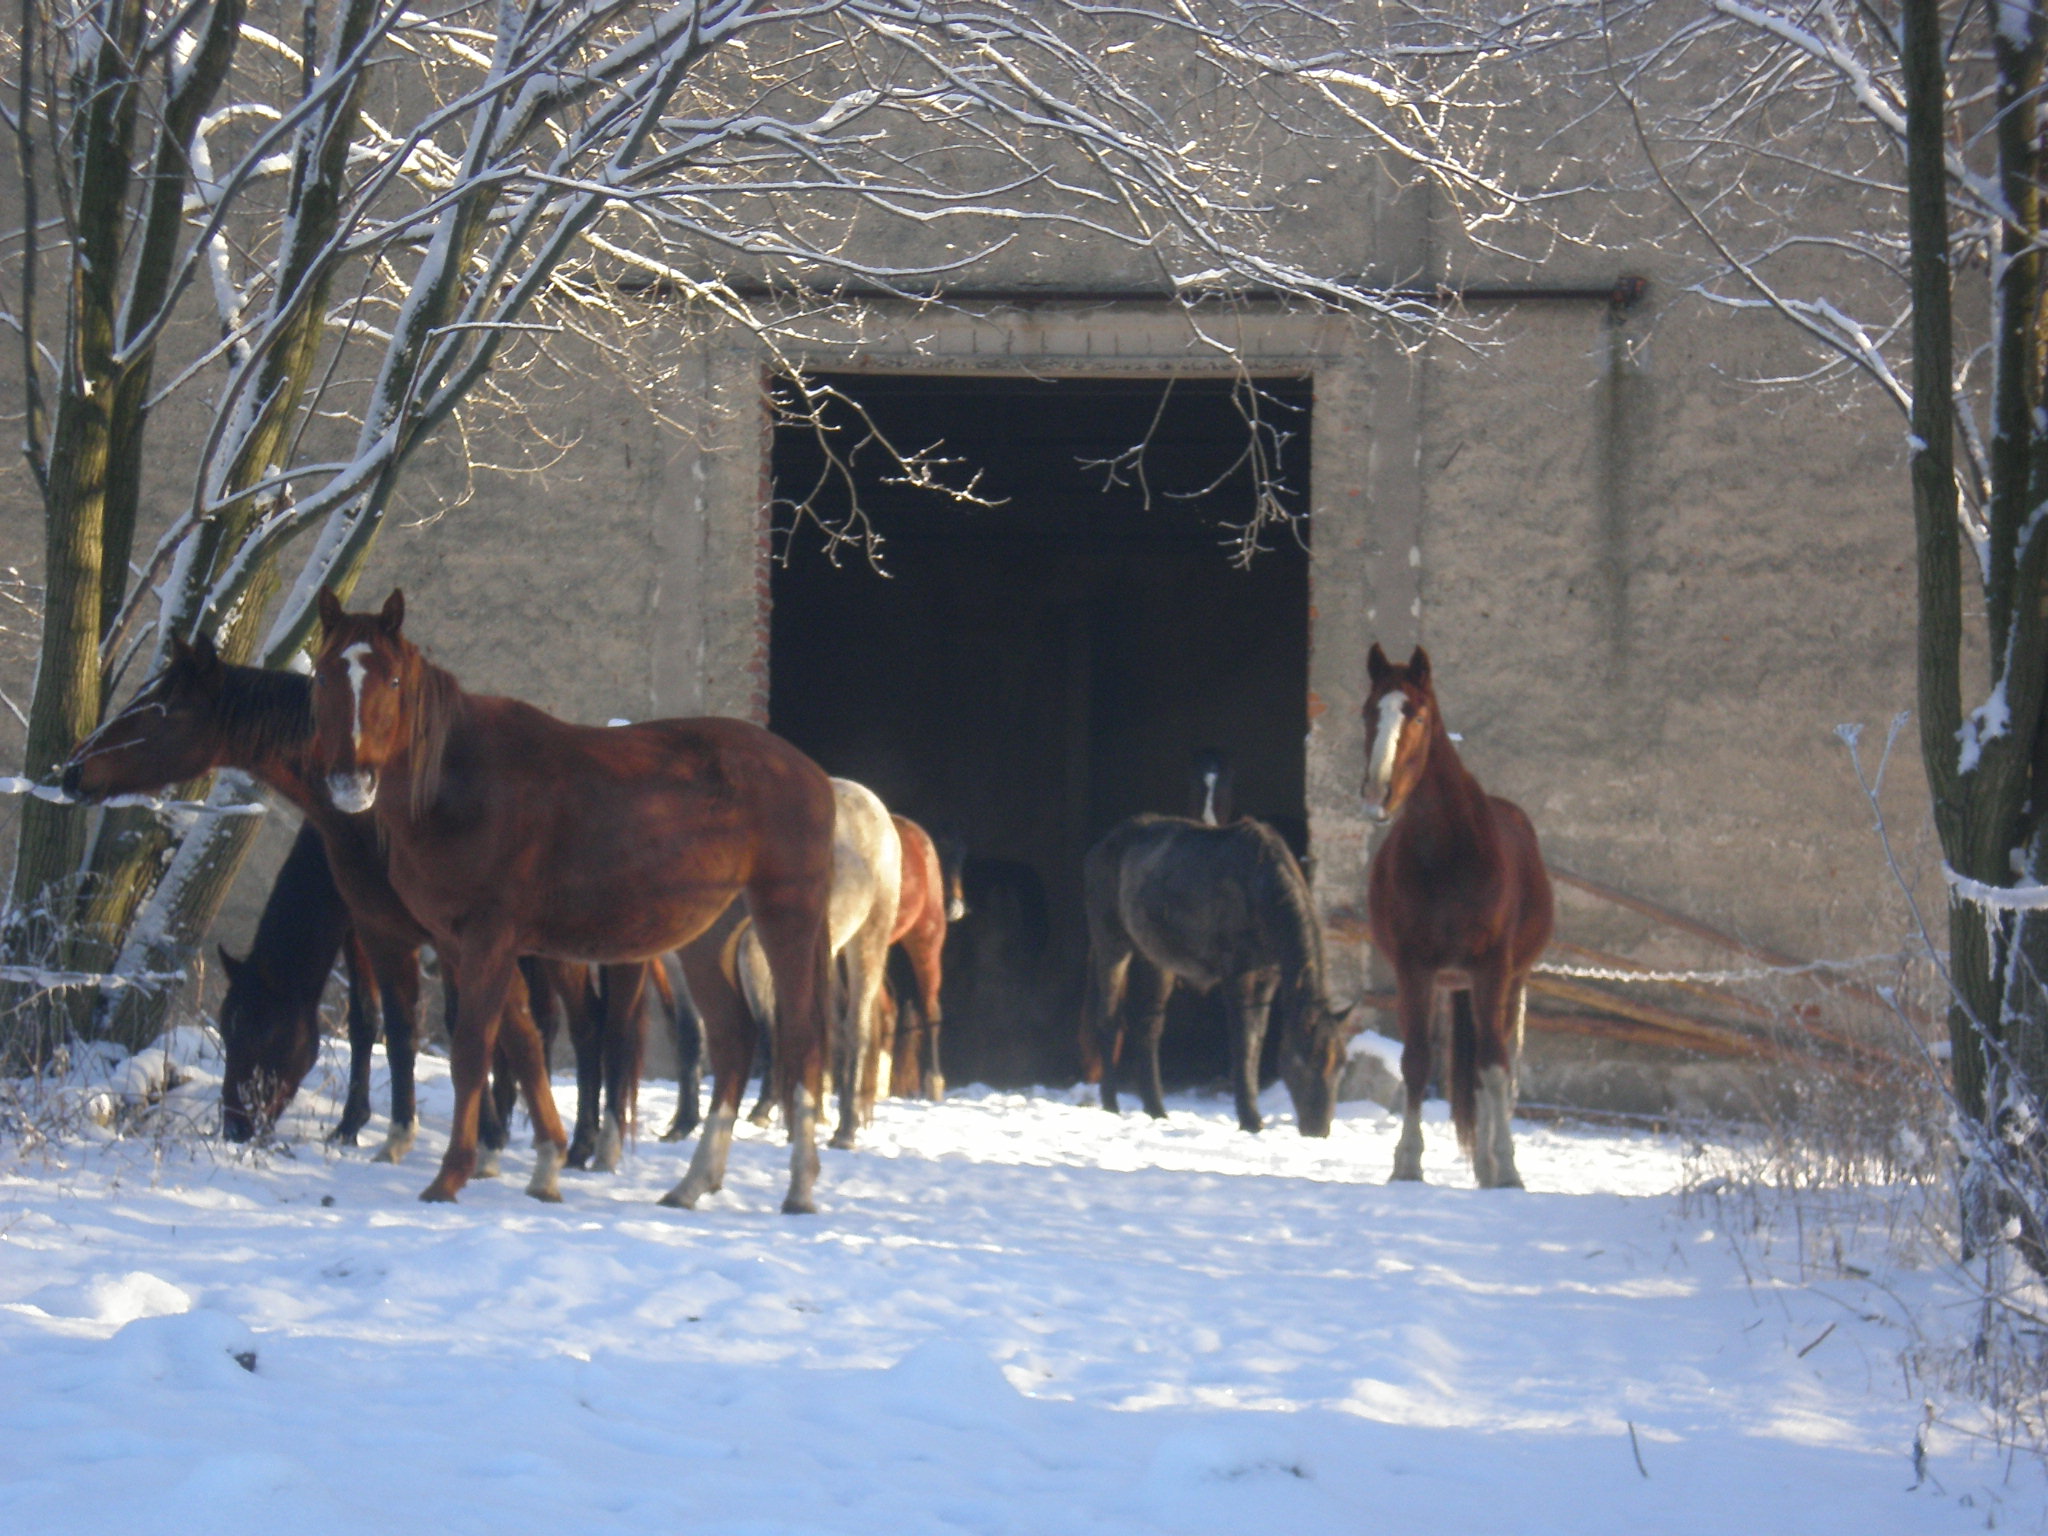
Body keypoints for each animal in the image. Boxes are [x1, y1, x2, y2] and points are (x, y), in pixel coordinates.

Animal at [64, 634, 569, 1187]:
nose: (237, 1126)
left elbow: (464, 1022)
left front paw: (487, 1139)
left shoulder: (448, 937)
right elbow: (371, 1021)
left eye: (161, 708)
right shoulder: (365, 927)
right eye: (227, 1026)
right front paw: (352, 1124)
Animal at [303, 589, 831, 1212]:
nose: (349, 781)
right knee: (733, 1040)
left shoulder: (489, 940)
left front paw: (451, 1177)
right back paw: (693, 1183)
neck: (464, 785)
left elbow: (472, 1053)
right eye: (321, 675)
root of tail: (811, 773)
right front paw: (547, 1164)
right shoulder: (462, 945)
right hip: (707, 938)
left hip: (785, 919)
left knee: (800, 1039)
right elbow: (524, 1045)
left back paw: (799, 1188)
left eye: (390, 680)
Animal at [1359, 643, 1548, 1196]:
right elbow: (1417, 1062)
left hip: (1508, 981)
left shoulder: (1492, 969)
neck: (1447, 855)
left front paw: (1508, 1170)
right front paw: (1406, 1164)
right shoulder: (1414, 969)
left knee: (1499, 1061)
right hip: (1457, 984)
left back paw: (1492, 1165)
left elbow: (1492, 1066)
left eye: (1417, 716)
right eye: (1368, 712)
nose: (1375, 796)